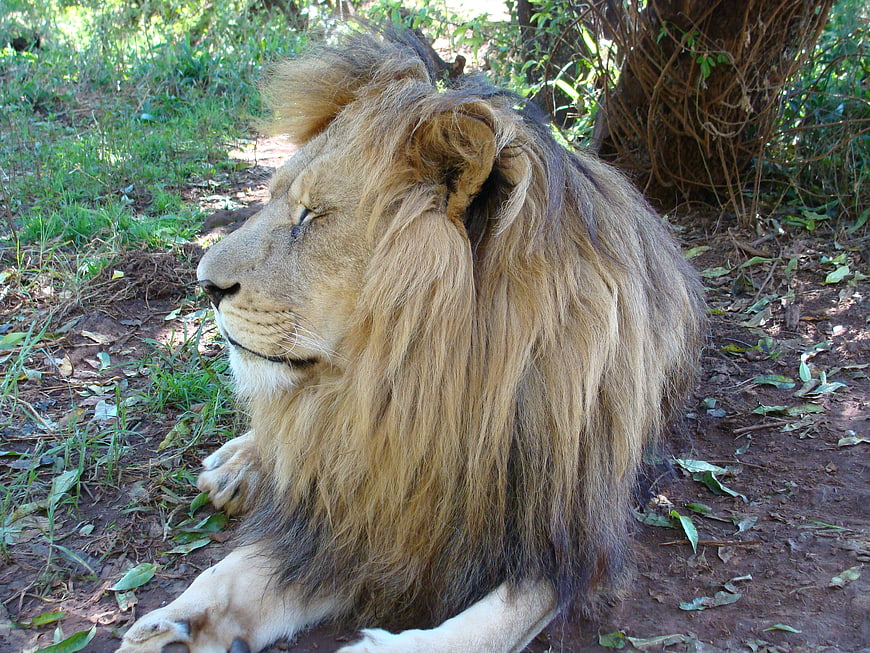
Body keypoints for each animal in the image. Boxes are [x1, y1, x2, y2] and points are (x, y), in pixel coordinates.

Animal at [118, 29, 704, 653]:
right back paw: (236, 465)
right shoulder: (361, 505)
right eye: (273, 199)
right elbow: (237, 572)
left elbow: (485, 630)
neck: (417, 394)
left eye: (312, 215)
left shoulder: (566, 542)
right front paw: (173, 625)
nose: (204, 284)